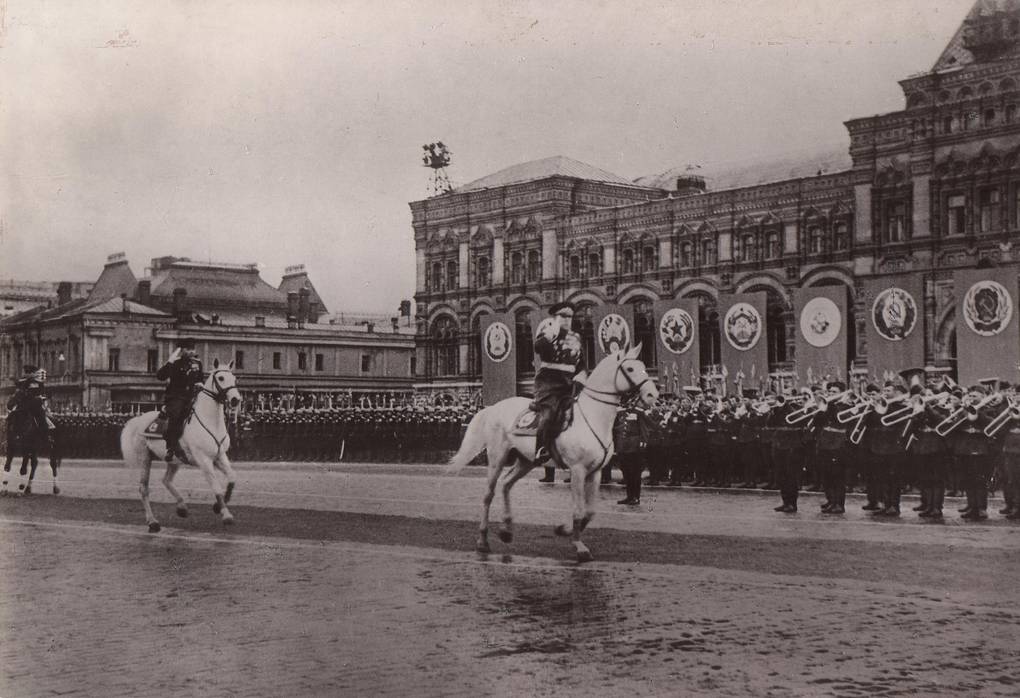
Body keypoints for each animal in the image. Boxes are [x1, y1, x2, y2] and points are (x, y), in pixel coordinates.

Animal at [118, 357, 240, 530]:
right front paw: (226, 514)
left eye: (235, 379)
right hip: (145, 458)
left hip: (174, 460)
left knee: (166, 480)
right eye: (221, 378)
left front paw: (219, 505)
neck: (211, 422)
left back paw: (181, 507)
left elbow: (232, 477)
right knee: (143, 488)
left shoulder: (220, 456)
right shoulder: (204, 460)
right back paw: (153, 522)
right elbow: (216, 486)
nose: (236, 399)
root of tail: (138, 419)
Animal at [448, 342, 656, 563]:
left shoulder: (596, 472)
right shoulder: (578, 470)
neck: (592, 416)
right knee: (488, 494)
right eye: (630, 368)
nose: (653, 395)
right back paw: (482, 541)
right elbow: (578, 510)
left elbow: (590, 512)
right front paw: (579, 546)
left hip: (526, 461)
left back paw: (506, 531)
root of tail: (495, 407)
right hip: (497, 457)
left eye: (644, 366)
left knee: (506, 484)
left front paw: (564, 530)